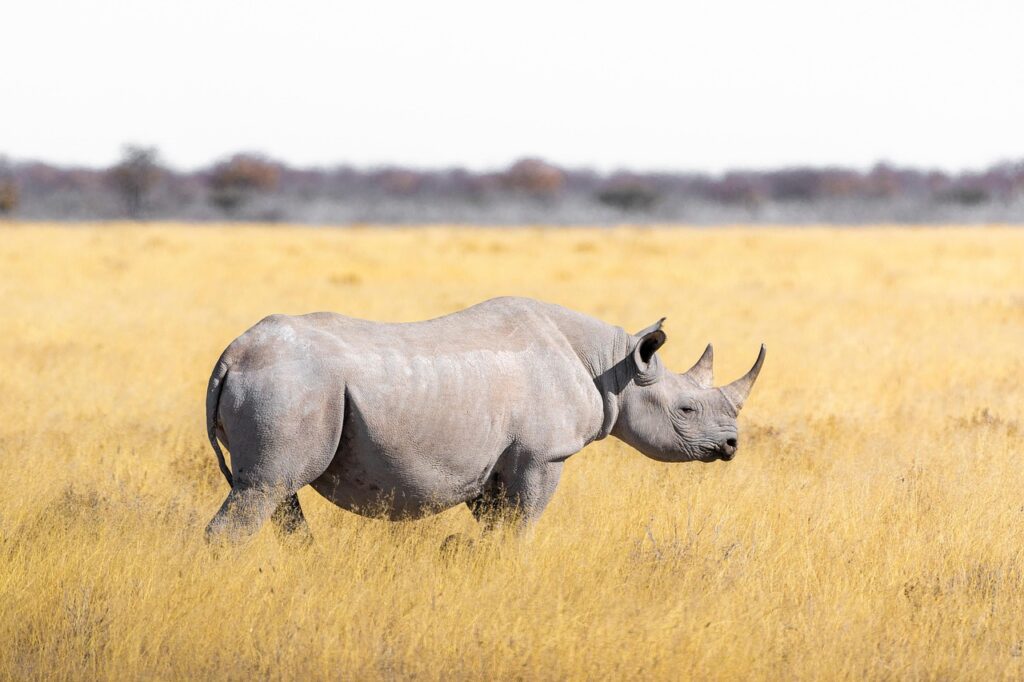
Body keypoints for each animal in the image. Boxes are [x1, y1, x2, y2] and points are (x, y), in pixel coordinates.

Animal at [205, 297, 765, 542]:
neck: (615, 366)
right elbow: (523, 526)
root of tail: (232, 355)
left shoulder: (495, 462)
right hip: (292, 383)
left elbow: (497, 527)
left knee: (276, 491)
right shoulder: (542, 456)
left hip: (292, 385)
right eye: (687, 410)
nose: (732, 445)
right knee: (264, 487)